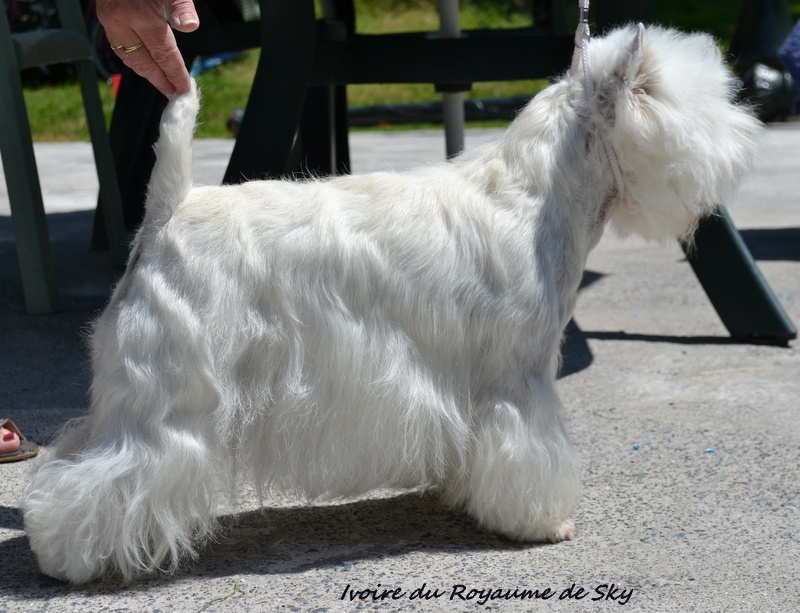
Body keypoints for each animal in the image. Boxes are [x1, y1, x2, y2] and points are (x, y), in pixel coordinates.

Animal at [23, 23, 756, 580]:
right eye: (688, 101)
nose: (745, 138)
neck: (539, 195)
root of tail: (168, 210)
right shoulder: (518, 379)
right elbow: (529, 450)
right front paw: (544, 522)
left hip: (134, 389)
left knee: (73, 453)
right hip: (166, 393)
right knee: (105, 475)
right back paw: (70, 556)